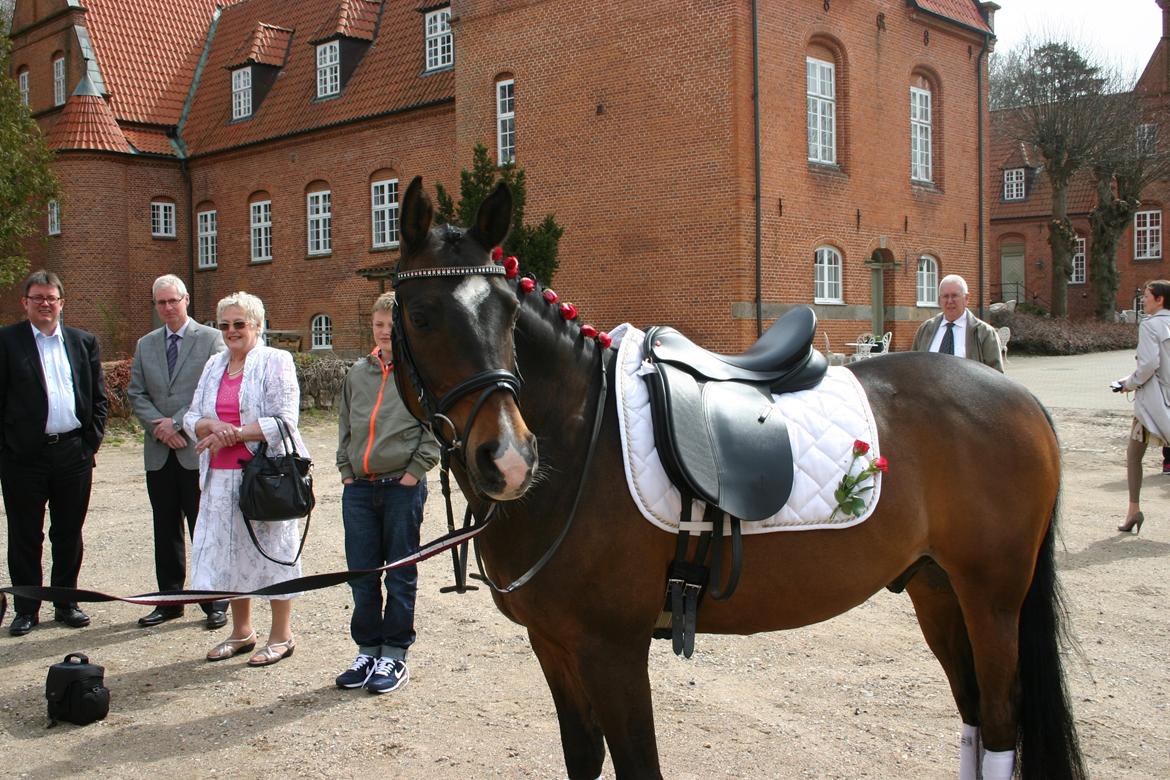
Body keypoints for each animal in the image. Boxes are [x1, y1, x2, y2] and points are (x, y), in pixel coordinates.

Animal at [393, 178, 1085, 780]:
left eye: (509, 313)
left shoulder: (613, 651)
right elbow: (582, 758)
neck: (581, 434)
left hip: (992, 598)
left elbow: (638, 765)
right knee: (974, 717)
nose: (510, 459)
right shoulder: (553, 646)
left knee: (1000, 722)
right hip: (937, 589)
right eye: (420, 315)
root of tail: (1018, 396)